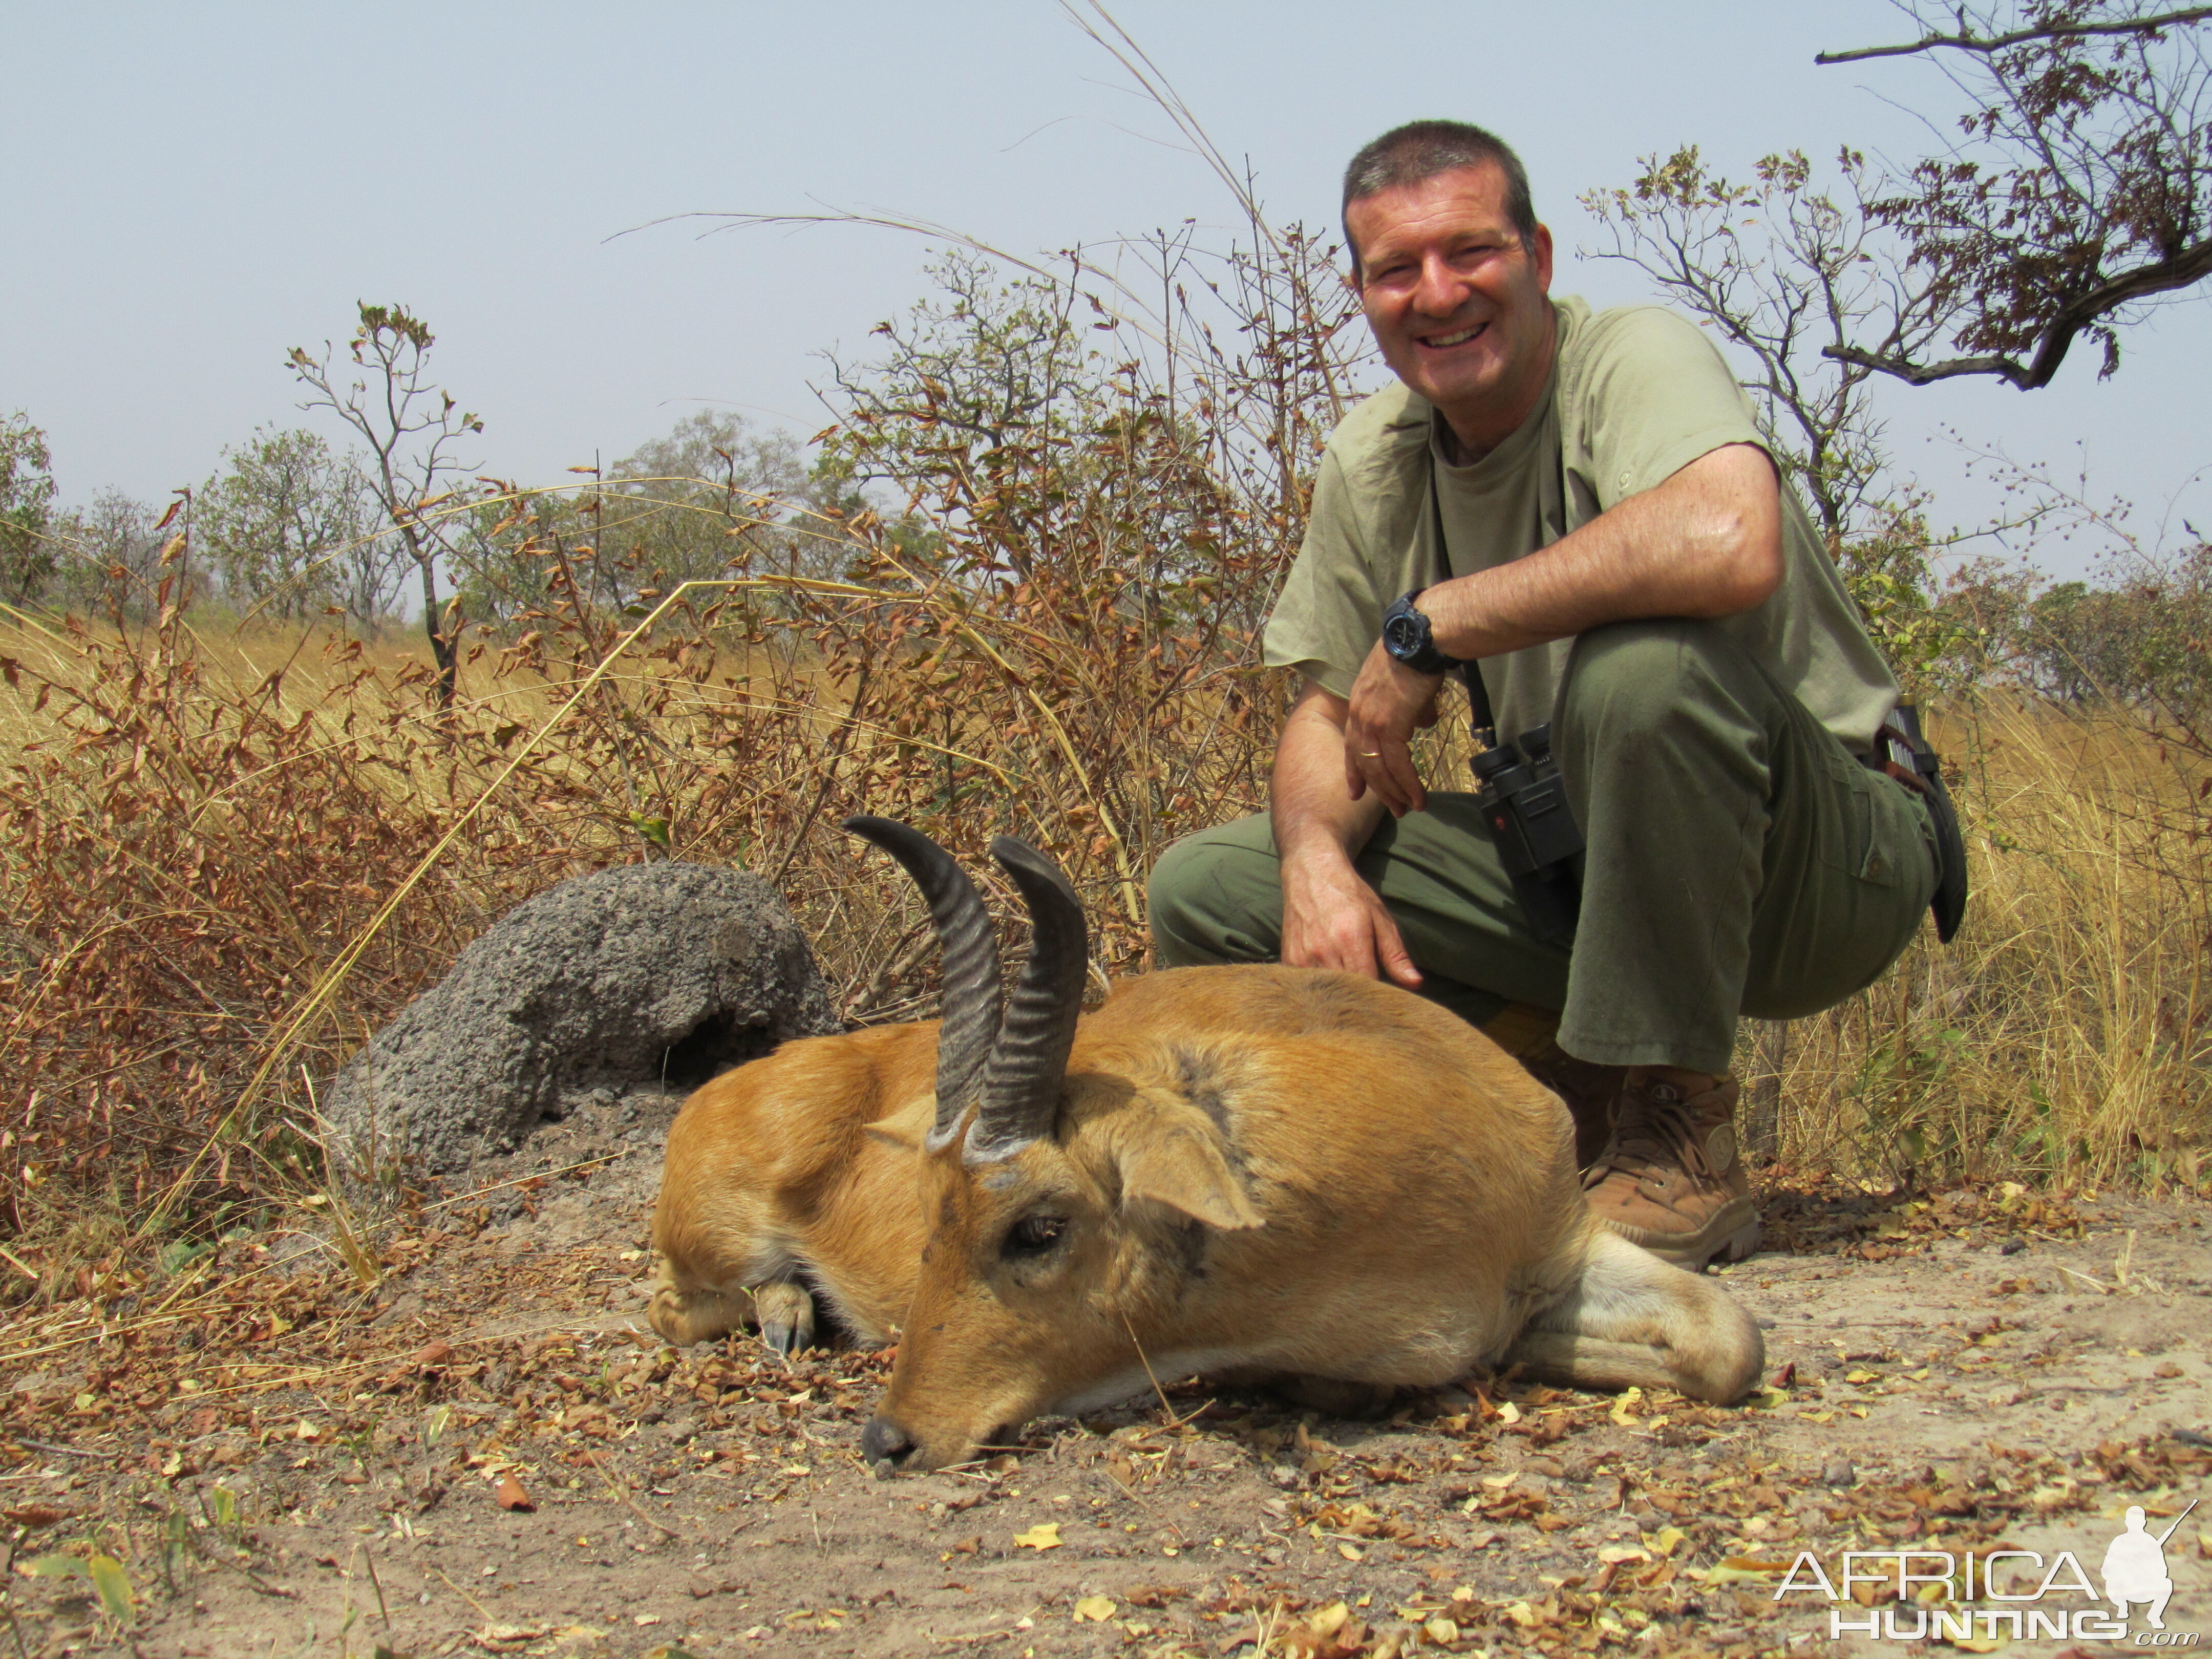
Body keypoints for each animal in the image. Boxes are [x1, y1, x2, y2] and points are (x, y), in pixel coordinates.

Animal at [650, 814, 1760, 1477]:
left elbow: (1729, 1343)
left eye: (1037, 1229)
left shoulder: (1562, 1244)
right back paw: (791, 1318)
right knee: (686, 1309)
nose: (892, 1437)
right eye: (934, 1218)